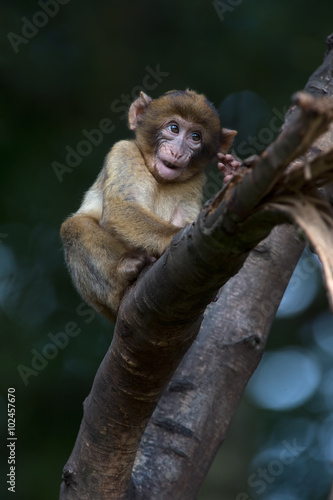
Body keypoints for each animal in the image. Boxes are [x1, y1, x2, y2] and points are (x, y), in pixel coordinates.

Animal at [60, 89, 239, 320]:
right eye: (174, 128)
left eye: (195, 137)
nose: (178, 151)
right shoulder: (124, 151)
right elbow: (120, 207)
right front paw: (173, 237)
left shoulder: (195, 180)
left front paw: (231, 176)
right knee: (73, 227)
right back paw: (124, 274)